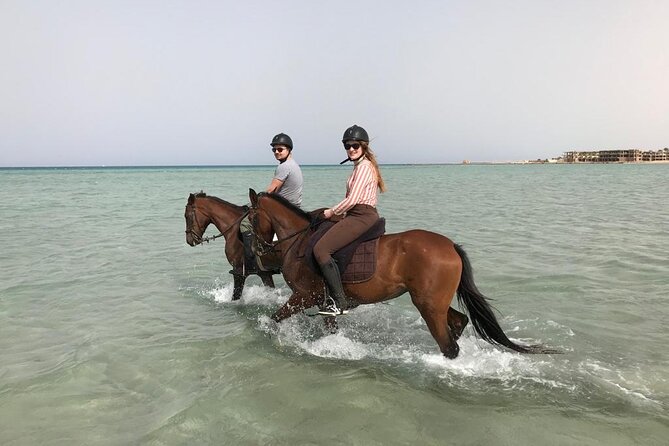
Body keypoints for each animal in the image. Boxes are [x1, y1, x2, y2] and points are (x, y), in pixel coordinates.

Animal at [247, 189, 557, 359]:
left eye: (251, 218)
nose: (257, 249)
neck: (299, 240)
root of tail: (450, 246)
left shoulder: (305, 296)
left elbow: (274, 319)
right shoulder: (322, 303)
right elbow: (330, 330)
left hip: (428, 306)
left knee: (448, 346)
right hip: (434, 303)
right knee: (459, 323)